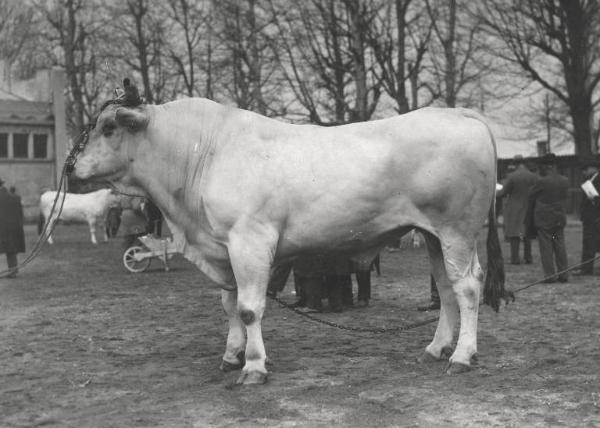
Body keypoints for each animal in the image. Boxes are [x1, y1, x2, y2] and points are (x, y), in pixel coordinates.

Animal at [72, 80, 508, 384]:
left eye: (108, 127)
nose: (72, 166)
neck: (203, 153)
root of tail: (459, 113)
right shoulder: (224, 248)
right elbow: (229, 304)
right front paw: (231, 356)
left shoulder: (249, 242)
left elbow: (249, 308)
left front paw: (253, 366)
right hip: (433, 234)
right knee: (446, 288)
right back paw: (435, 348)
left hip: (457, 230)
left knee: (467, 287)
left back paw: (461, 357)